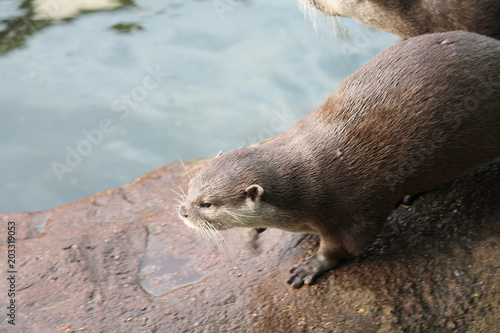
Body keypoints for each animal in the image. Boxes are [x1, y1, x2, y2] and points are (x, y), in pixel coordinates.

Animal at [180, 32, 500, 290]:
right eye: (191, 185)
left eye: (207, 204)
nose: (182, 212)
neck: (307, 186)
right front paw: (252, 234)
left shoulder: (356, 208)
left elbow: (345, 245)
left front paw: (312, 265)